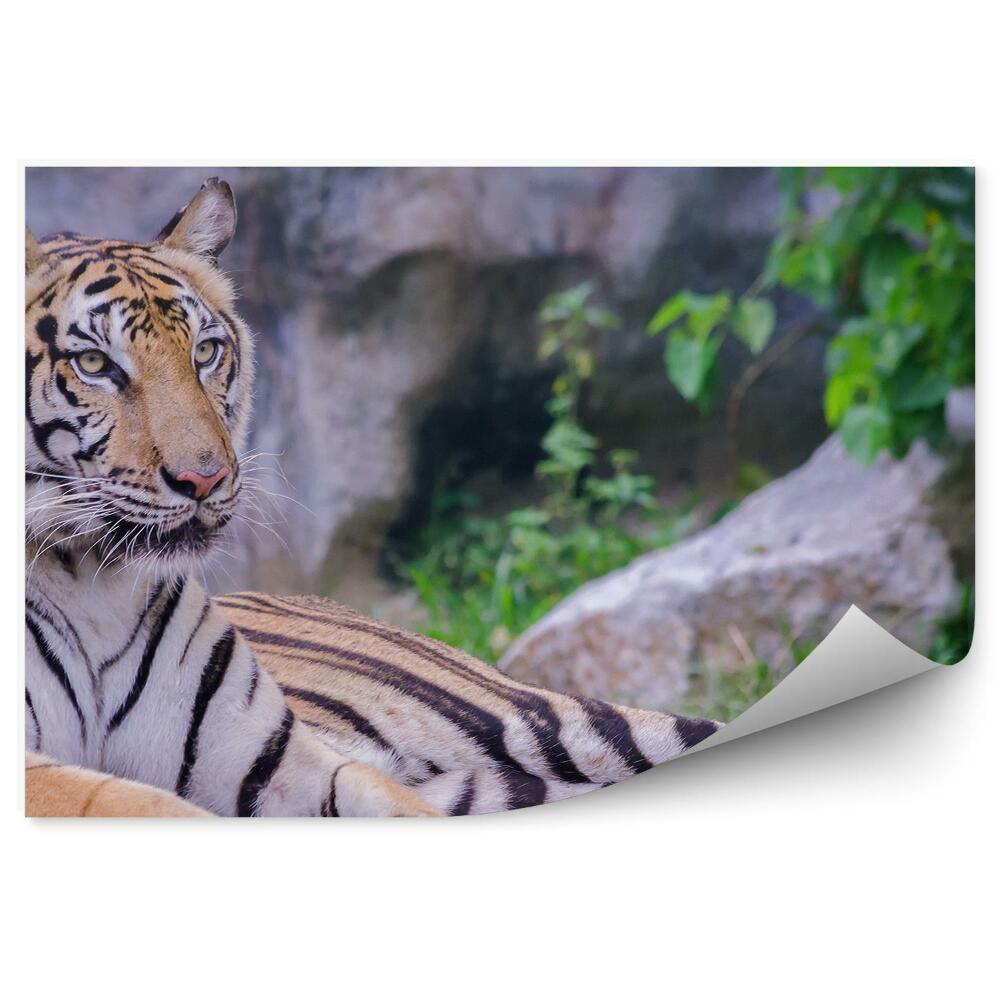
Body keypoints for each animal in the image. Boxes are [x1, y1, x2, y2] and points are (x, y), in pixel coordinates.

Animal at [24, 177, 721, 818]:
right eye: (94, 364)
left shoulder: (274, 764)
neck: (96, 589)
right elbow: (150, 805)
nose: (205, 479)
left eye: (206, 352)